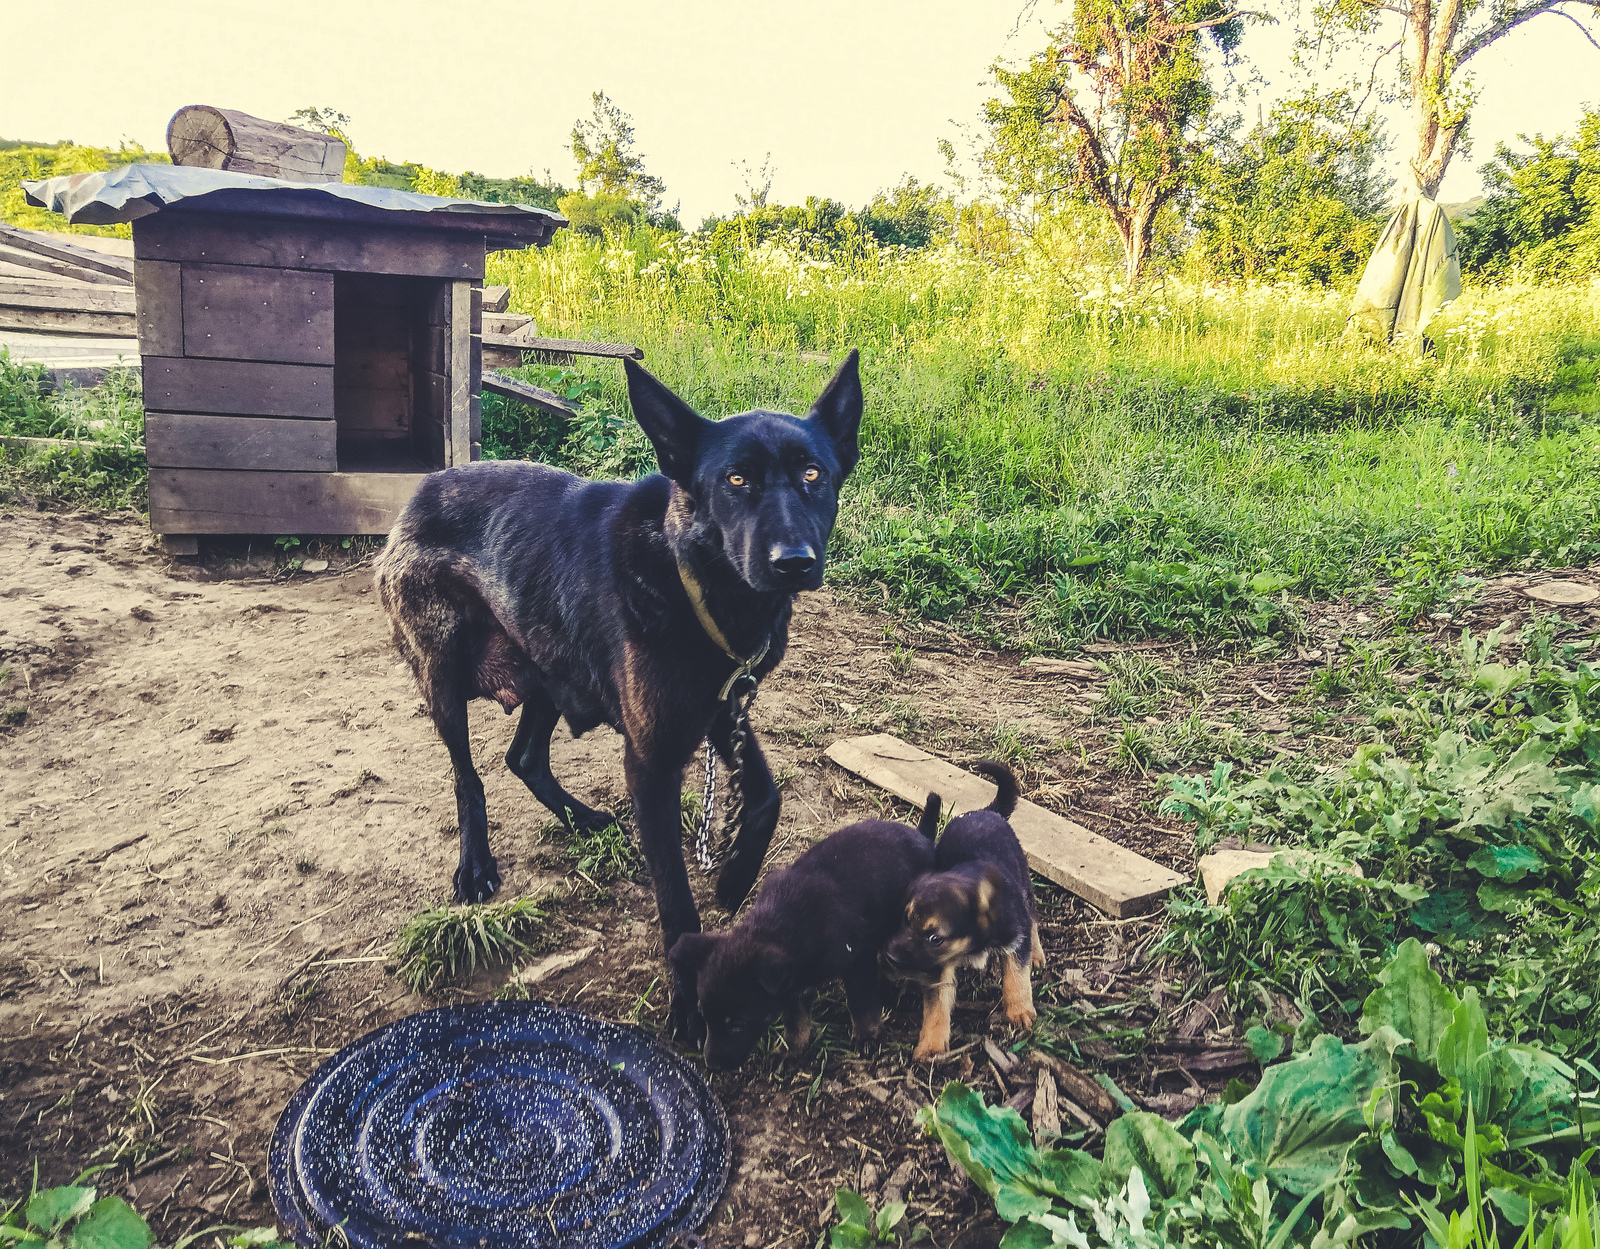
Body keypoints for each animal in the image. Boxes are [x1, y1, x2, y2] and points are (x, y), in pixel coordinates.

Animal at [376, 345, 864, 1036]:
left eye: (814, 475)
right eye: (736, 480)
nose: (793, 561)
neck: (695, 581)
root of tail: (423, 490)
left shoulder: (721, 709)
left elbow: (768, 795)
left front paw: (736, 879)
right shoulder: (653, 760)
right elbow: (677, 901)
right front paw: (690, 1006)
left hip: (549, 665)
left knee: (523, 758)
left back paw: (583, 820)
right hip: (442, 671)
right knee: (468, 776)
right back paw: (476, 866)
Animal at [665, 809, 934, 1074]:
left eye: (737, 1023)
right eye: (704, 1017)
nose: (712, 1065)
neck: (782, 926)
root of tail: (922, 837)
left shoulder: (858, 960)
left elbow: (862, 1003)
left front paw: (866, 1036)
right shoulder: (793, 984)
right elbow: (796, 1021)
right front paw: (792, 1050)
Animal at [883, 754, 1043, 1055]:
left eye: (935, 938)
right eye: (905, 920)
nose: (891, 956)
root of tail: (986, 811)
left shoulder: (1014, 937)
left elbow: (1017, 975)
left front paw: (1019, 1011)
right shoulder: (939, 967)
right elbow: (936, 1004)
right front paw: (932, 1045)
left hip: (1024, 885)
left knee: (1033, 920)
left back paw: (1037, 954)